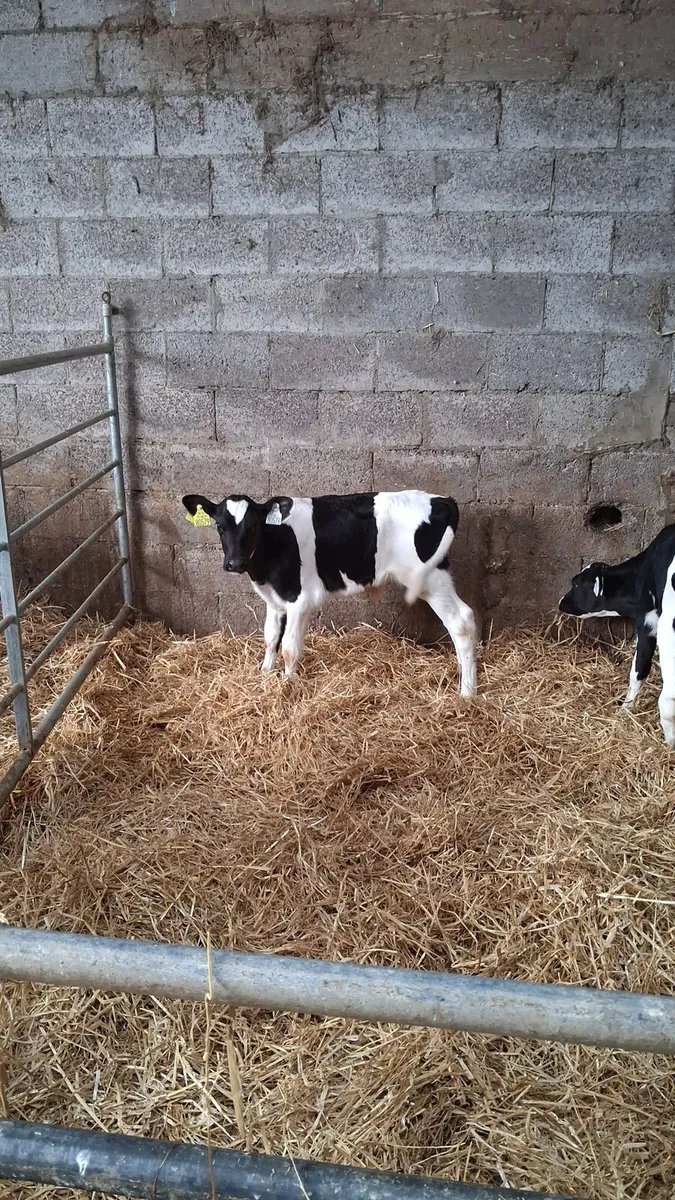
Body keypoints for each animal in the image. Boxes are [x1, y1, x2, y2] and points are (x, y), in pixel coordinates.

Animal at [182, 489, 477, 697]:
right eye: (220, 527)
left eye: (253, 527)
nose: (235, 563)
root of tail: (441, 500)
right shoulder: (275, 601)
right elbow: (270, 638)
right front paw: (265, 675)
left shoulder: (300, 599)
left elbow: (289, 647)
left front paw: (287, 685)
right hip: (438, 573)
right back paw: (461, 671)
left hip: (429, 577)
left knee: (461, 621)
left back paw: (467, 692)